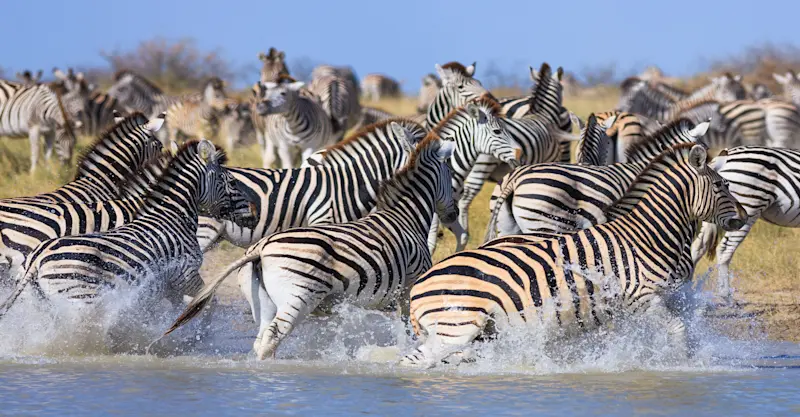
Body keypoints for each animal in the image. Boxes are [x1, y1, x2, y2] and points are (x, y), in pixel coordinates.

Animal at [0, 140, 256, 321]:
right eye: (232, 182)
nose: (253, 213)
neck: (171, 214)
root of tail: (37, 259)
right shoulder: (185, 274)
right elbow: (207, 304)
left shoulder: (168, 285)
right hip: (79, 298)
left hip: (41, 303)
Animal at [163, 135, 460, 360]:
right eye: (451, 176)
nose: (454, 215)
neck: (406, 215)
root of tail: (261, 248)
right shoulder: (408, 288)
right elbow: (409, 331)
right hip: (298, 297)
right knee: (271, 338)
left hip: (262, 300)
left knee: (261, 337)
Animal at [401, 143, 747, 367]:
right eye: (721, 185)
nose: (743, 218)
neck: (651, 237)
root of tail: (419, 286)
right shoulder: (642, 300)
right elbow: (678, 331)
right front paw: (681, 364)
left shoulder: (672, 296)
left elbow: (685, 332)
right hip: (457, 327)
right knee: (421, 360)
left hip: (476, 331)